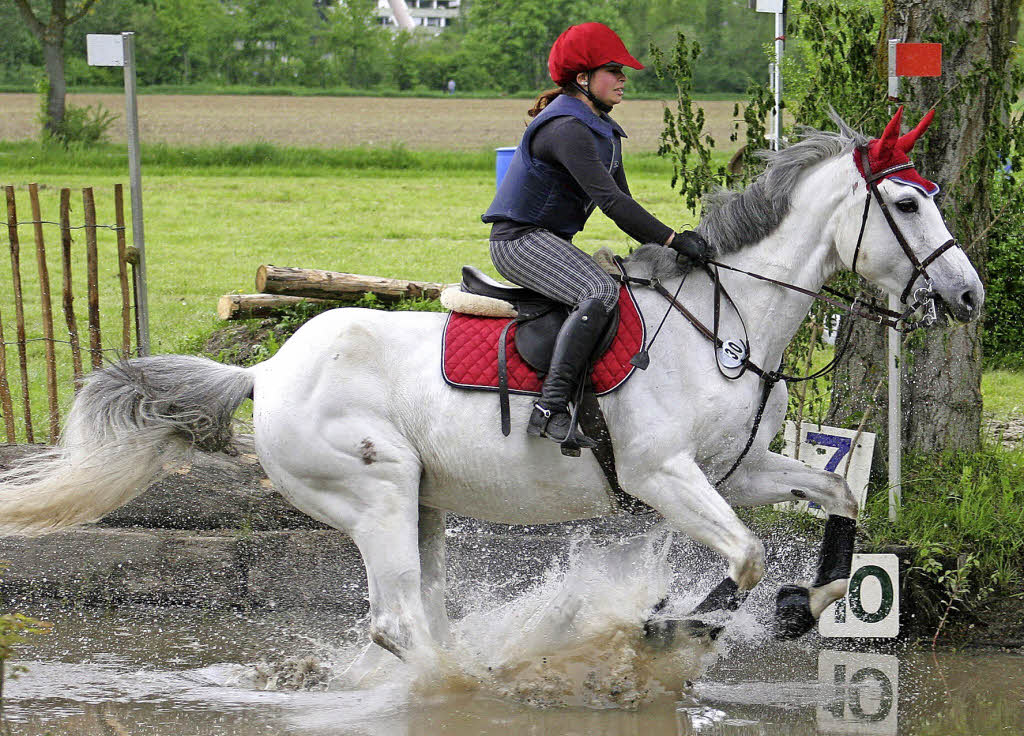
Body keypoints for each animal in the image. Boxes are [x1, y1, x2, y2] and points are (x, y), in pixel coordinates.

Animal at [0, 112, 978, 663]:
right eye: (908, 203)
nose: (968, 296)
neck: (723, 320)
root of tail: (264, 370)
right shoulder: (663, 473)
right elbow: (741, 557)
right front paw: (675, 625)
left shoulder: (736, 470)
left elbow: (839, 496)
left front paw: (801, 606)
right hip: (377, 490)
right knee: (400, 624)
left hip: (423, 503)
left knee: (421, 616)